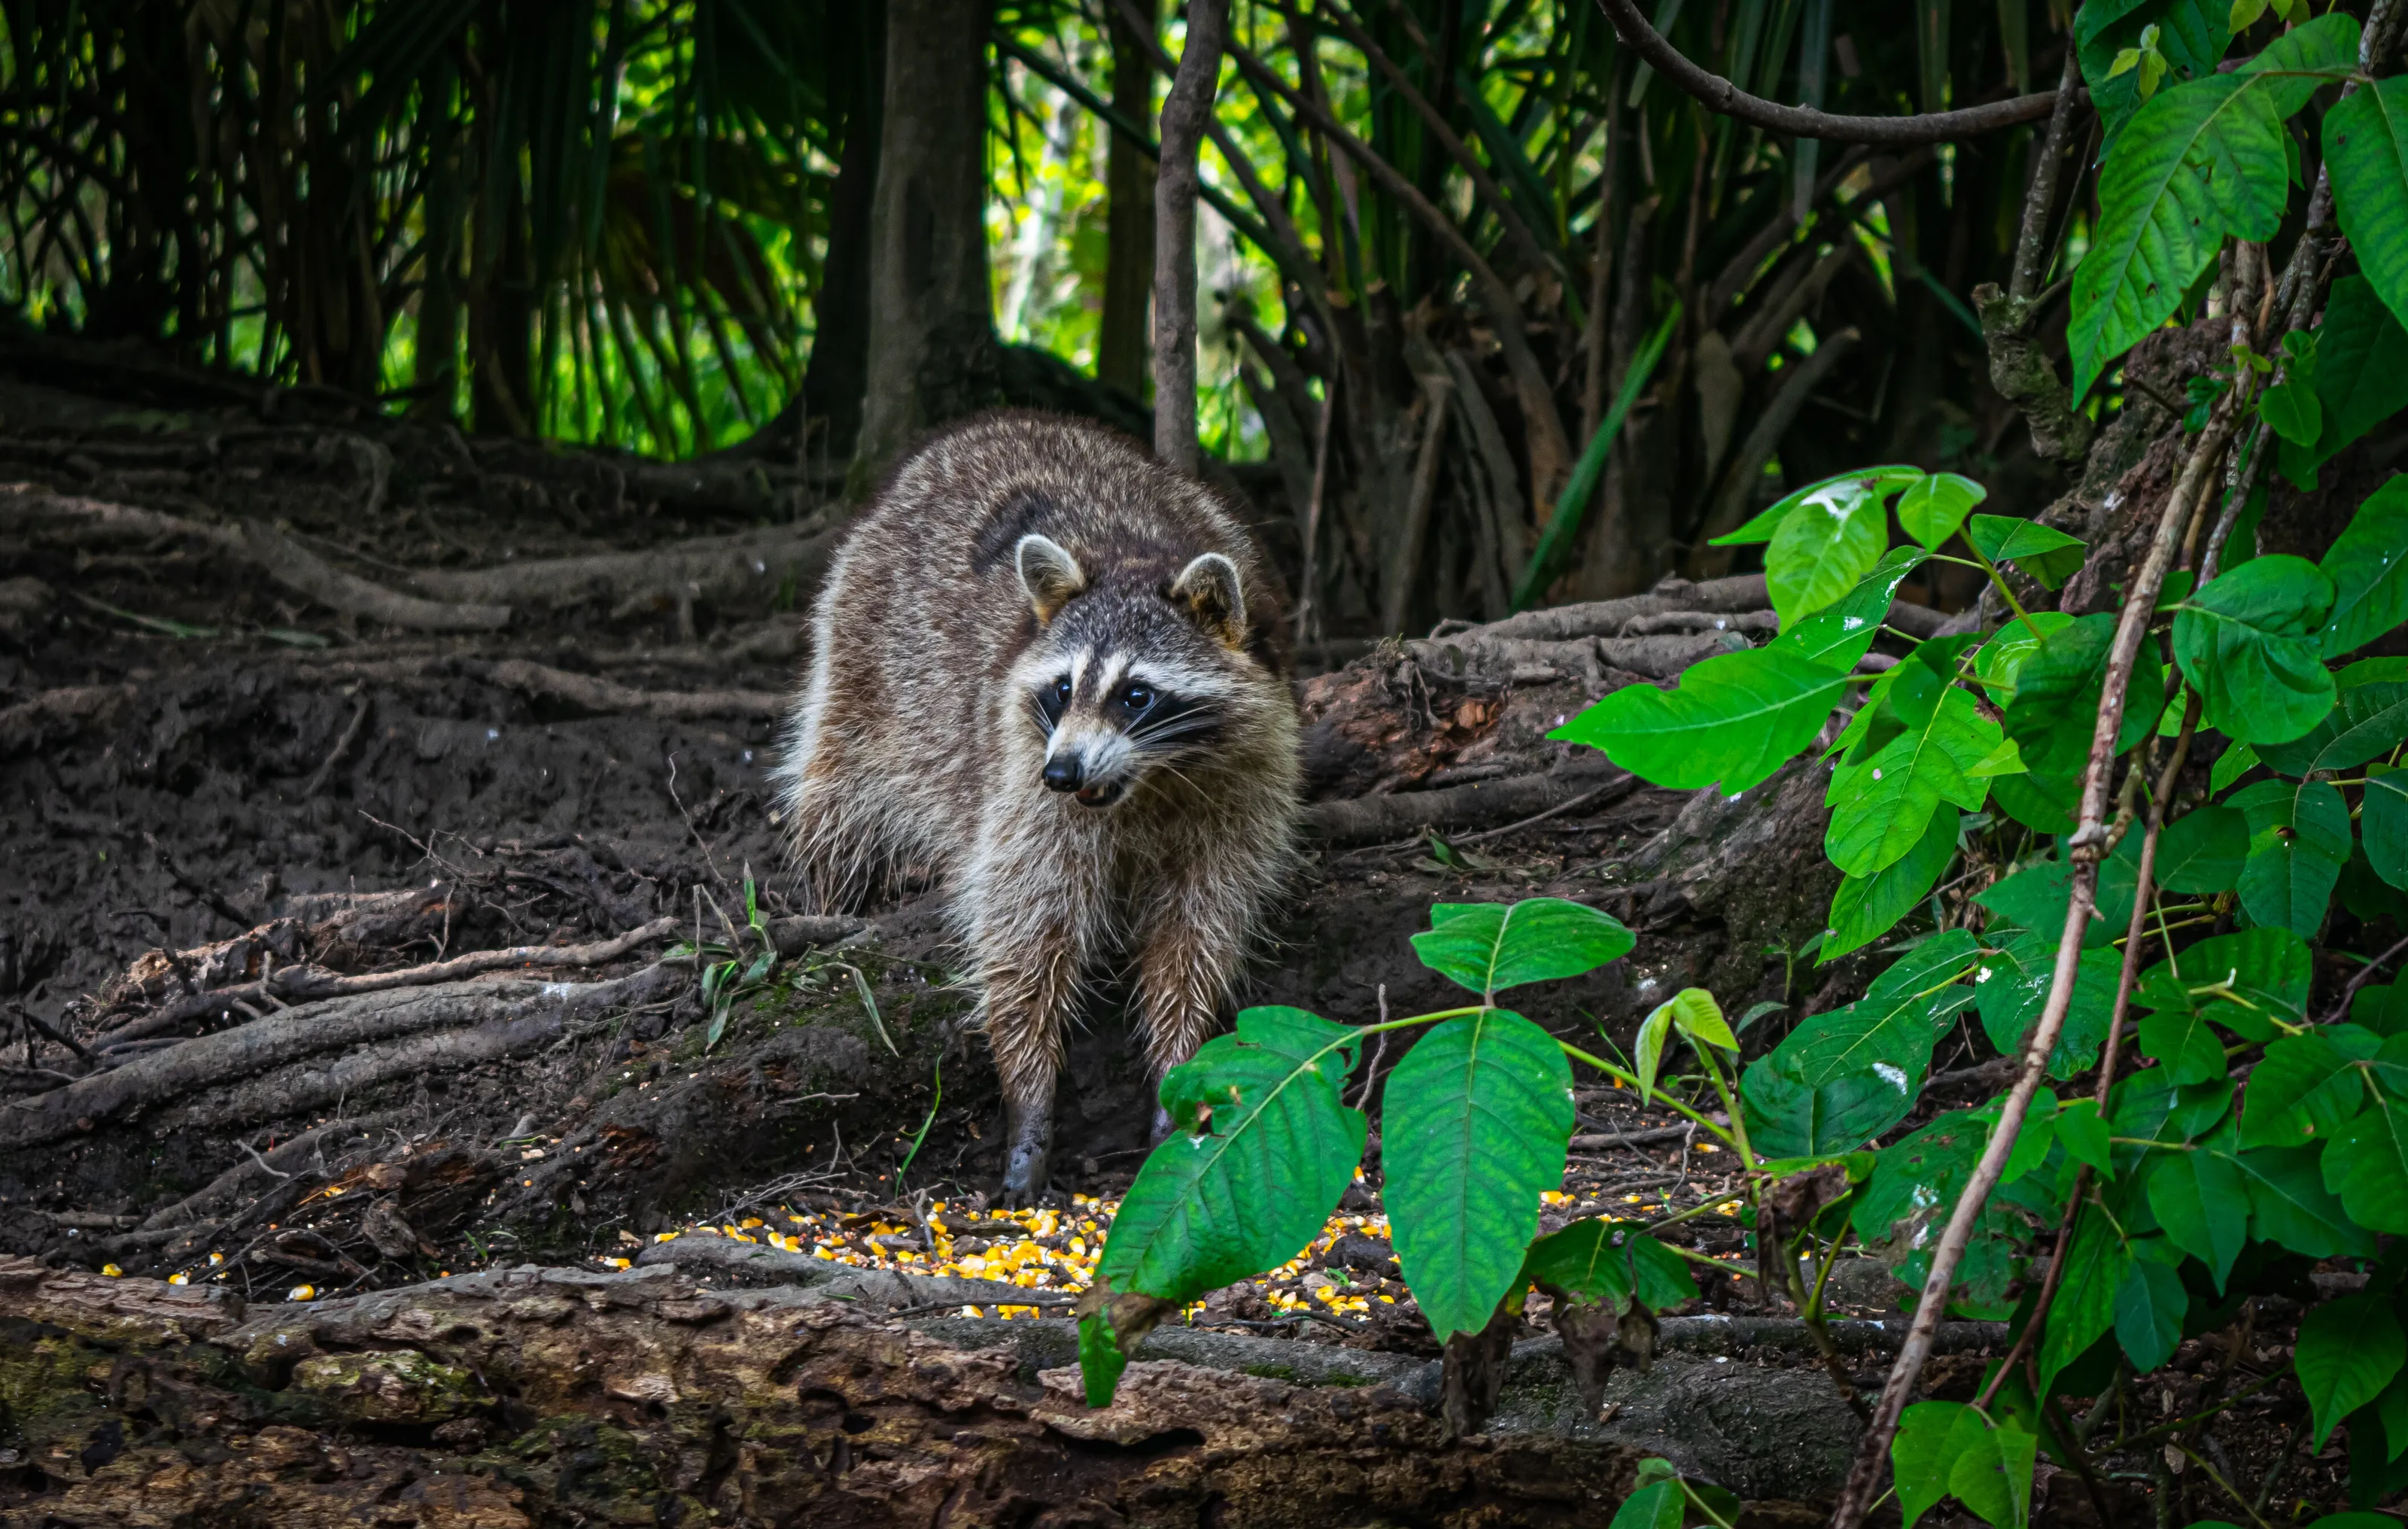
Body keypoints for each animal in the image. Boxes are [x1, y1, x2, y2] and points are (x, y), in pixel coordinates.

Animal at [774, 411, 1301, 1203]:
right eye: (1063, 689)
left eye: (1136, 695)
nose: (1064, 770)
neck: (1150, 783)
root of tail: (999, 421)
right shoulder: (1023, 784)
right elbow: (1022, 936)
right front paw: (1029, 1098)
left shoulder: (1242, 792)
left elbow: (1198, 930)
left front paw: (1177, 1065)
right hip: (862, 649)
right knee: (838, 799)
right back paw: (835, 903)